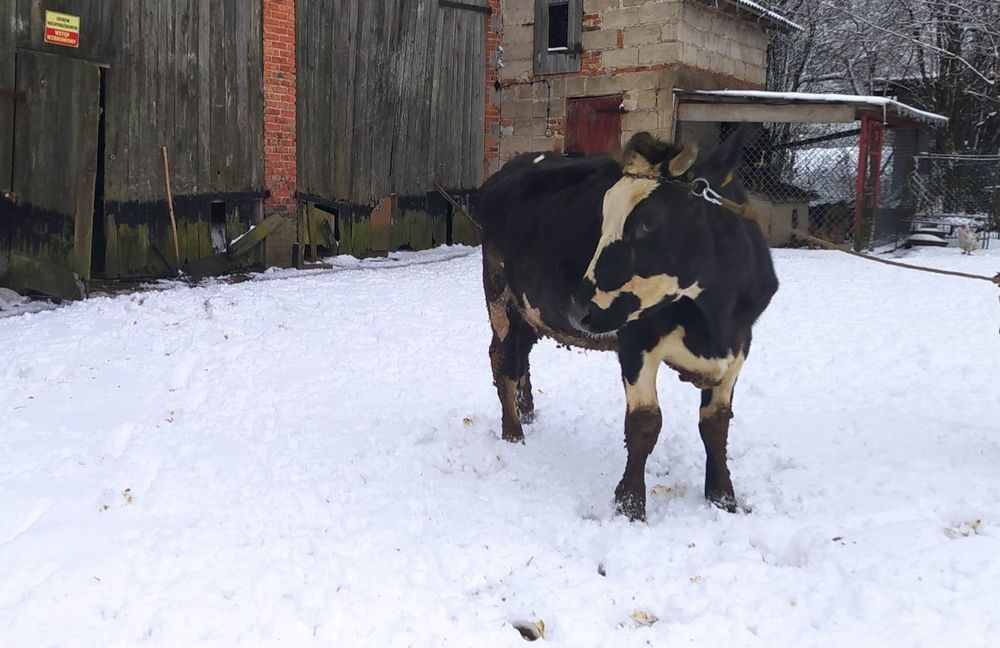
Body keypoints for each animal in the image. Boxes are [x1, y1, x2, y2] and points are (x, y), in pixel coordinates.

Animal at [472, 130, 776, 520]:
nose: (579, 308)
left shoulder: (740, 344)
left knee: (521, 355)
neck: (712, 321)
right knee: (503, 359)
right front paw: (630, 505)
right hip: (500, 296)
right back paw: (513, 433)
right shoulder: (636, 342)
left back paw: (527, 415)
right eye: (604, 216)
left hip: (529, 309)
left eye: (648, 222)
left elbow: (716, 423)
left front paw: (723, 498)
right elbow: (644, 423)